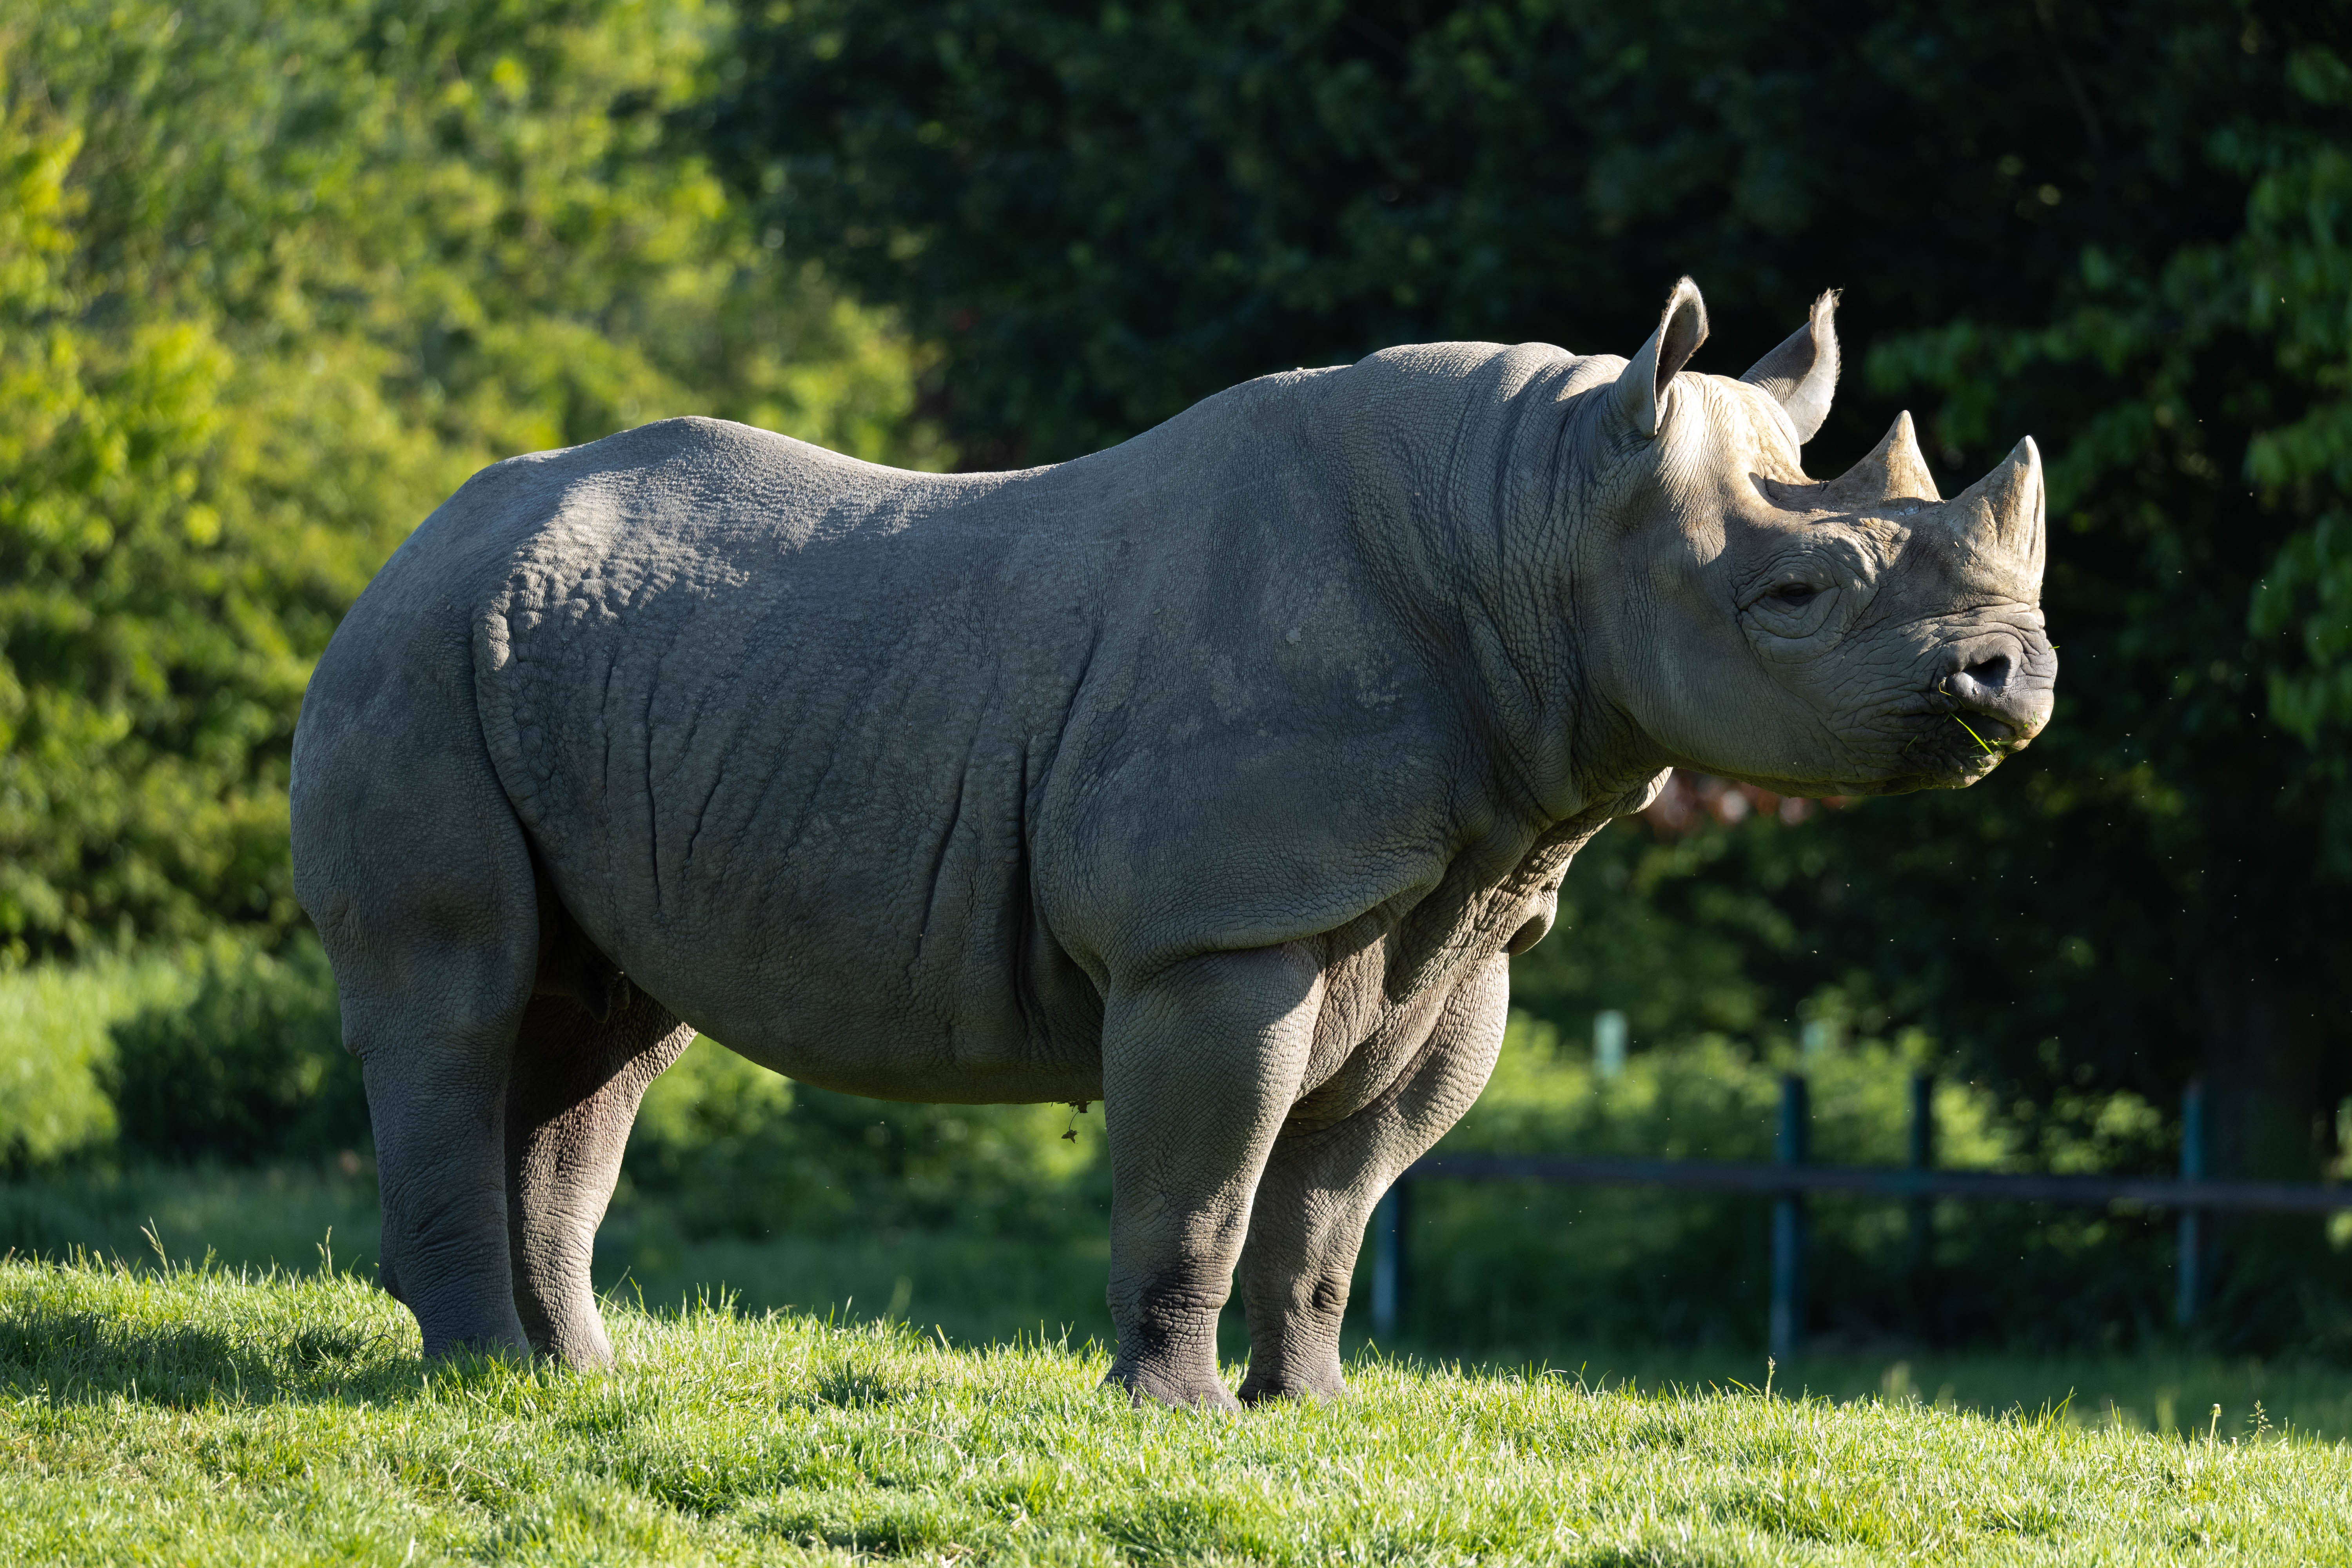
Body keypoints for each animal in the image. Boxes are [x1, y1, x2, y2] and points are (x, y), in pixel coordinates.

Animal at [290, 277, 2053, 1406]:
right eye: (1793, 598)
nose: (2015, 673)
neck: (1534, 525)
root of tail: (414, 534)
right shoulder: (1221, 927)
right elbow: (1206, 1175)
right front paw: (1175, 1413)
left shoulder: (1470, 914)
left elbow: (1337, 1203)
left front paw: (1315, 1407)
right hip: (411, 659)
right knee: (457, 999)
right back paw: (476, 1378)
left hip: (581, 674)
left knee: (605, 1033)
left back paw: (578, 1380)